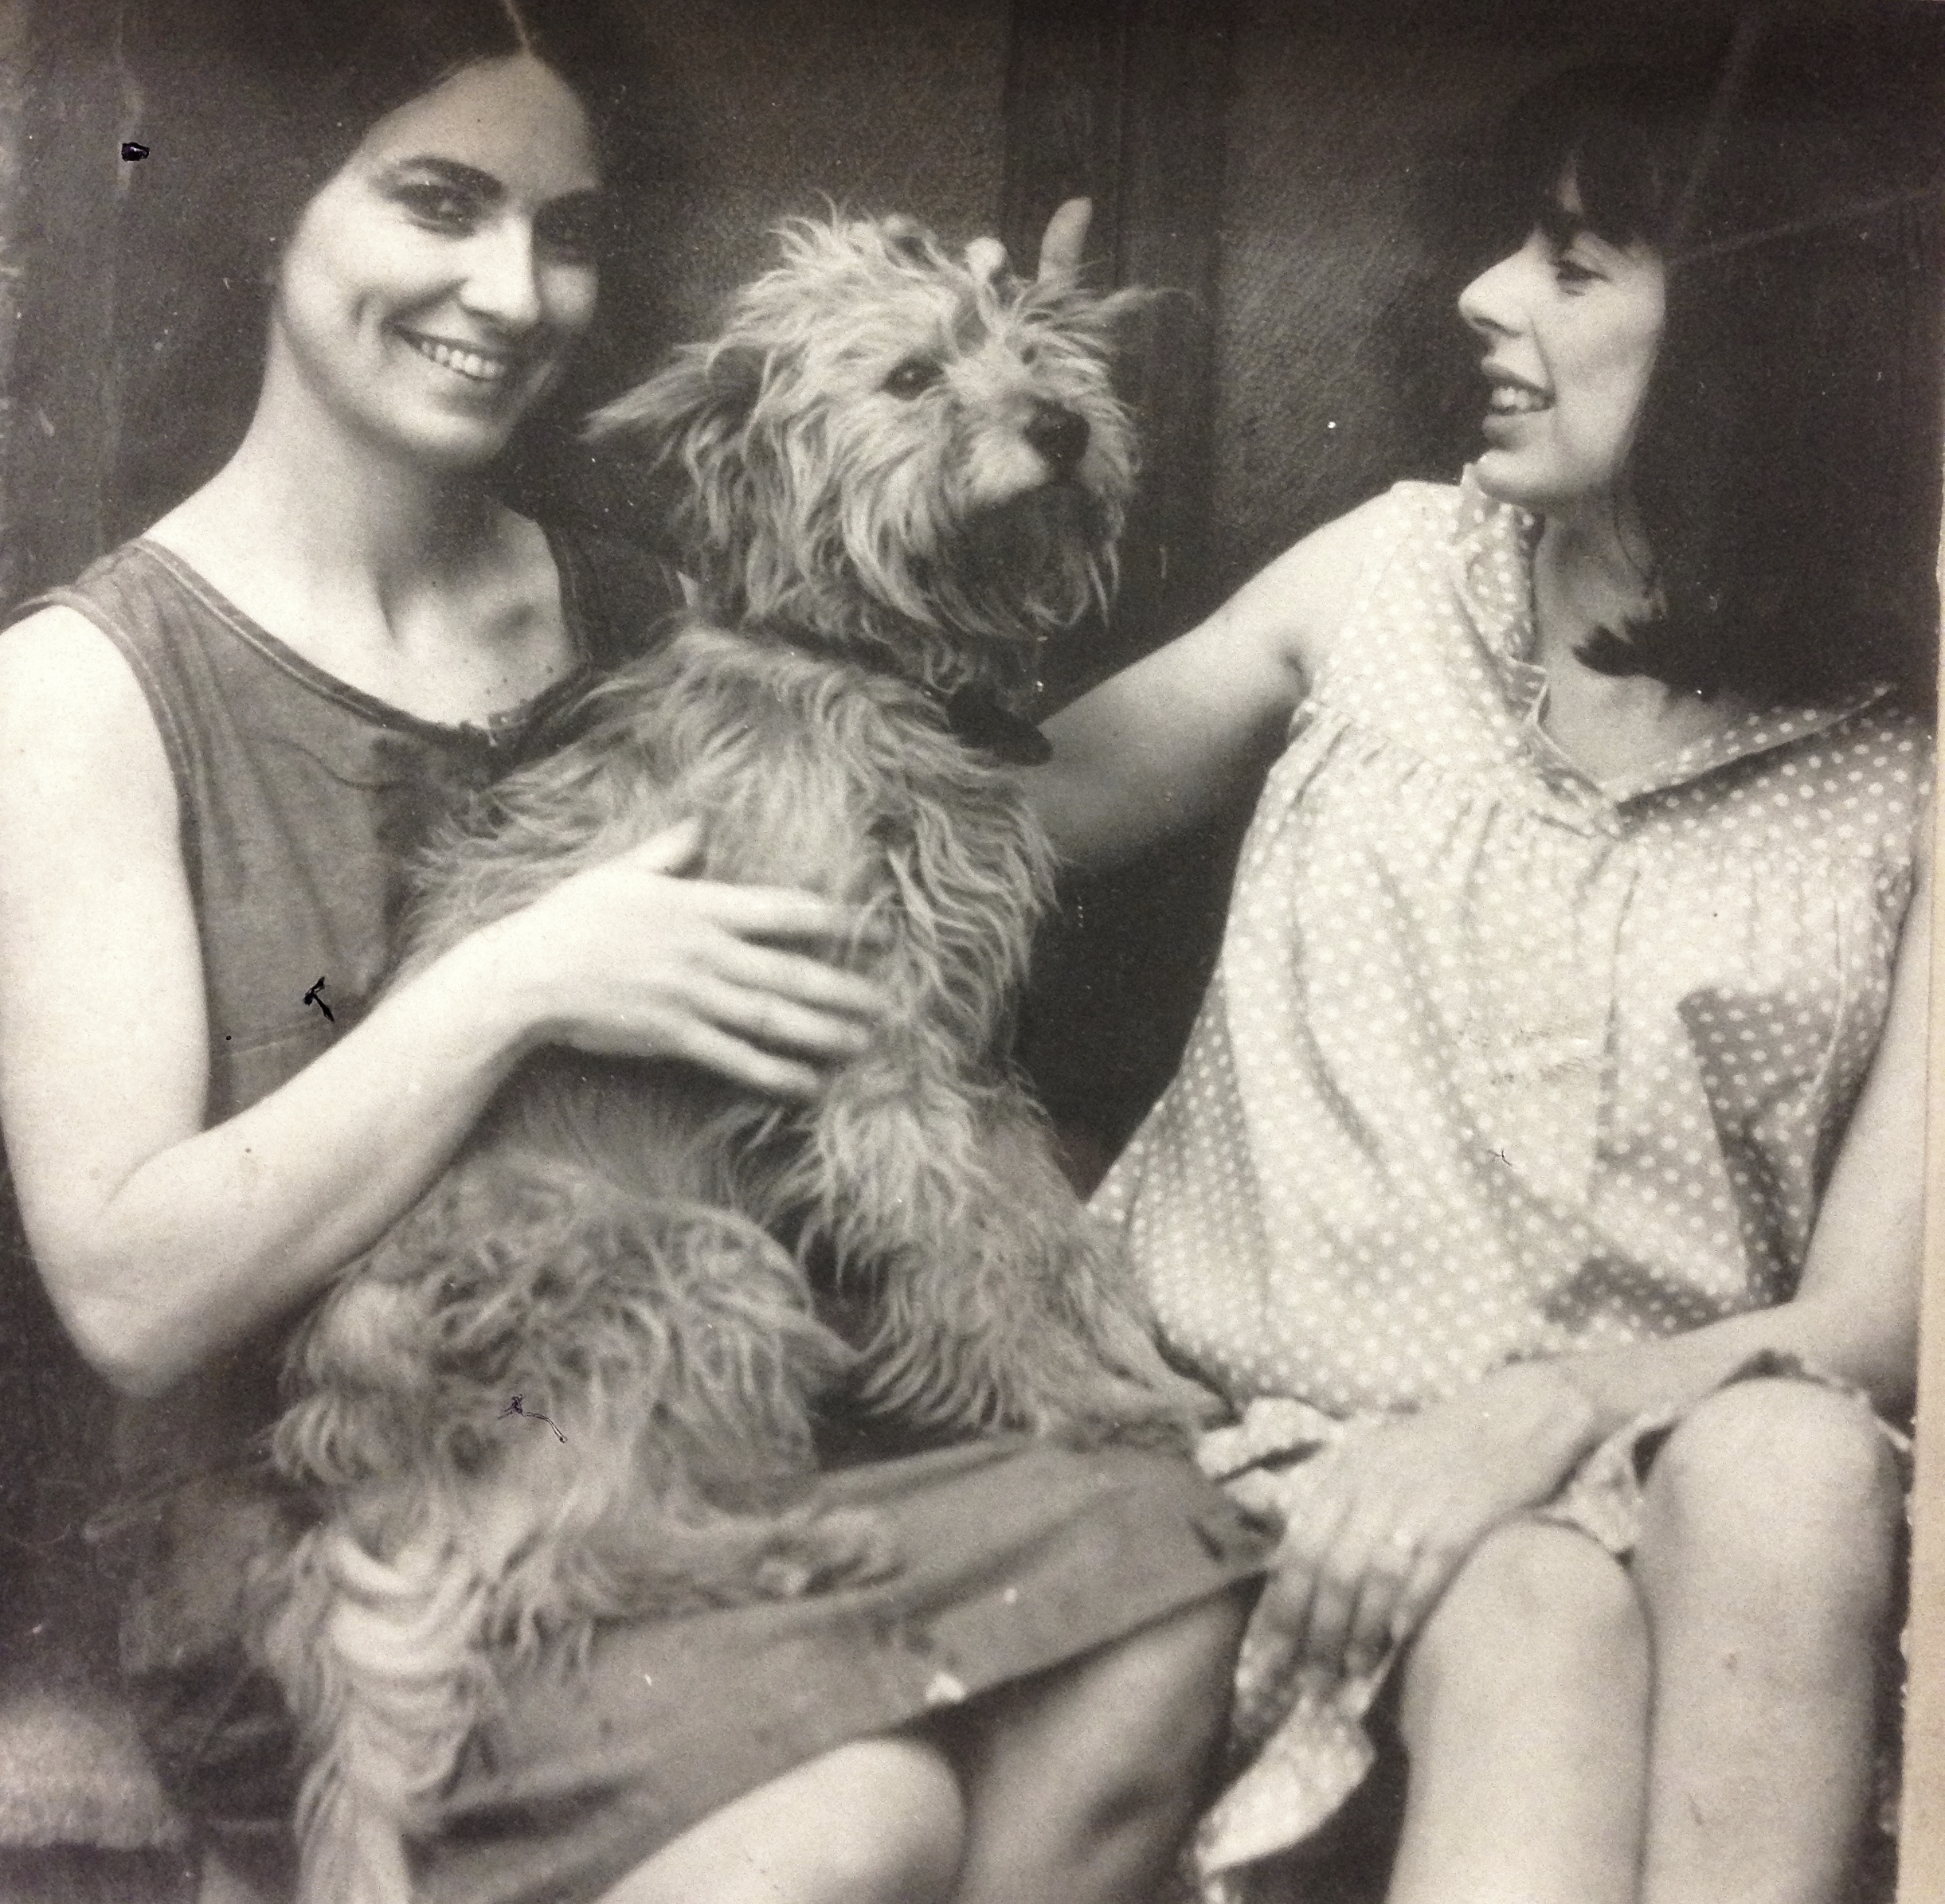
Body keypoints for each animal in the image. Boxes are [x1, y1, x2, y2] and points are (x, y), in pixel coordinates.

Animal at [256, 212, 1198, 1904]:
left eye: (1043, 346)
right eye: (910, 375)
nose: (1060, 426)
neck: (858, 671)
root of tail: (350, 1441)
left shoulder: (964, 1060)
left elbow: (1046, 1233)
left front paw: (1131, 1366)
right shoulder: (876, 1063)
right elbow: (972, 1252)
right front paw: (1072, 1405)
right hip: (688, 1262)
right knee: (554, 1559)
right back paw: (790, 1548)